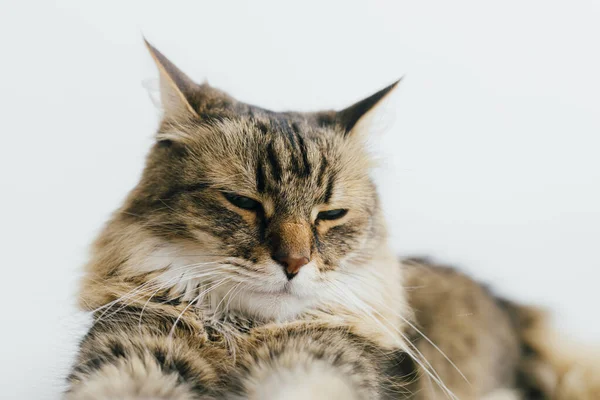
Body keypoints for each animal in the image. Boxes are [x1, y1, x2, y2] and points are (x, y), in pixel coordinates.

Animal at [63, 41, 596, 400]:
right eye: (243, 202)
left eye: (331, 214)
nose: (294, 263)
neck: (239, 333)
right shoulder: (128, 352)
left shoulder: (325, 364)